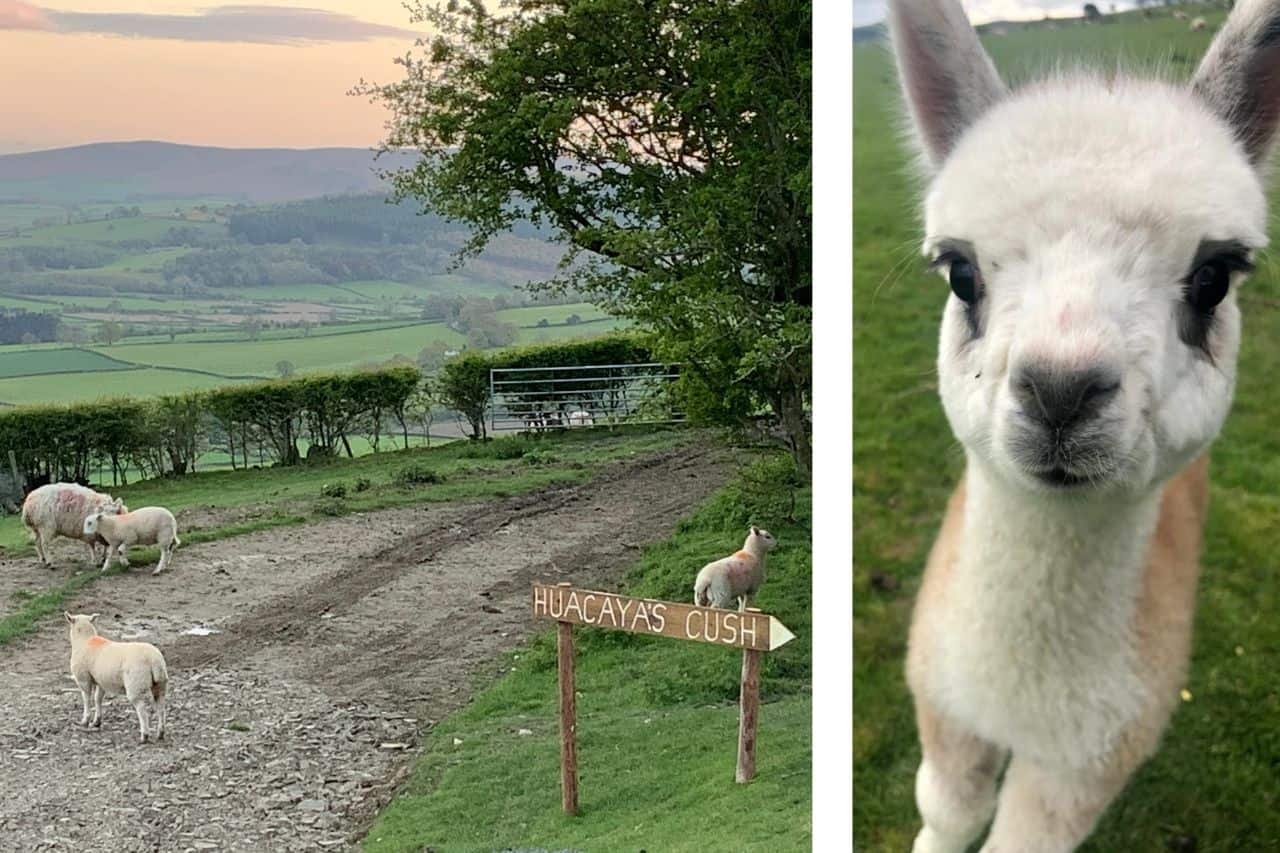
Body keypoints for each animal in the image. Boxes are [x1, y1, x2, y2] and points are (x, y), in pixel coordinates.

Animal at [65, 612, 167, 743]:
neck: (84, 641)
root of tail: (154, 660)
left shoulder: (83, 679)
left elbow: (87, 699)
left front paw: (85, 721)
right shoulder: (101, 680)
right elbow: (98, 699)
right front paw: (97, 721)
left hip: (135, 685)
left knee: (142, 710)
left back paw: (144, 735)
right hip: (160, 683)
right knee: (161, 708)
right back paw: (160, 733)